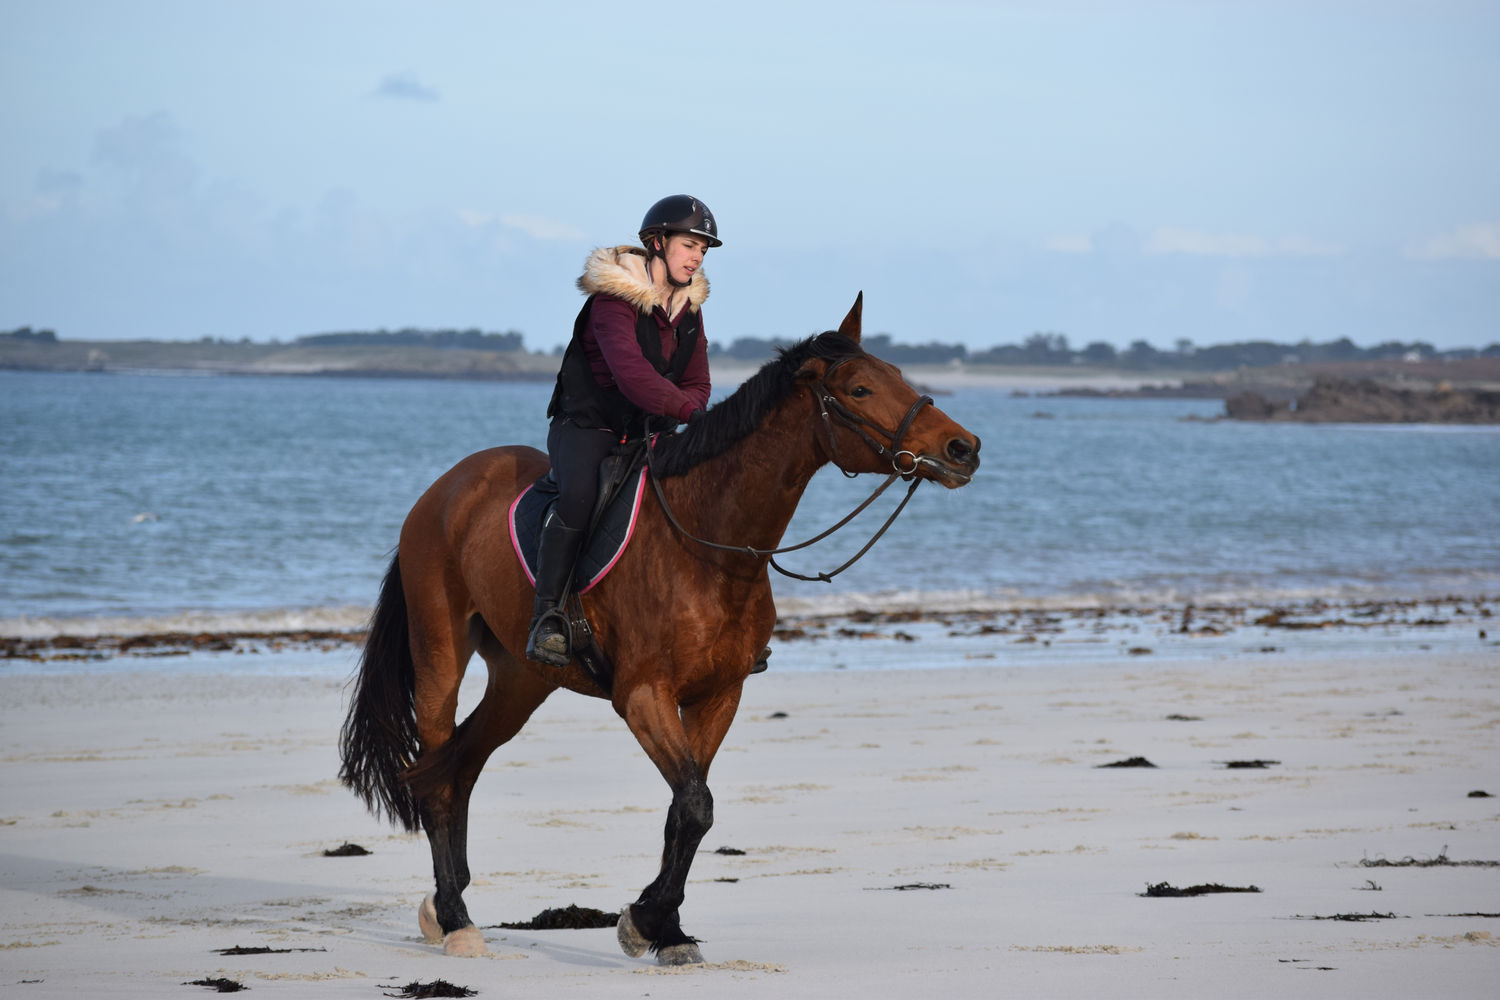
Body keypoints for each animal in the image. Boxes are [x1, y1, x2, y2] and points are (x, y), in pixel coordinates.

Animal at [334, 293, 978, 965]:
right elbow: (695, 804)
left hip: (521, 681)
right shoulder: (643, 696)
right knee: (435, 773)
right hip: (440, 656)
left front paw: (663, 928)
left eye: (898, 375)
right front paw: (644, 921)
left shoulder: (718, 696)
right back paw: (457, 920)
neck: (710, 544)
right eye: (859, 388)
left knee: (461, 765)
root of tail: (443, 490)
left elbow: (685, 809)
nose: (964, 448)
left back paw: (444, 903)